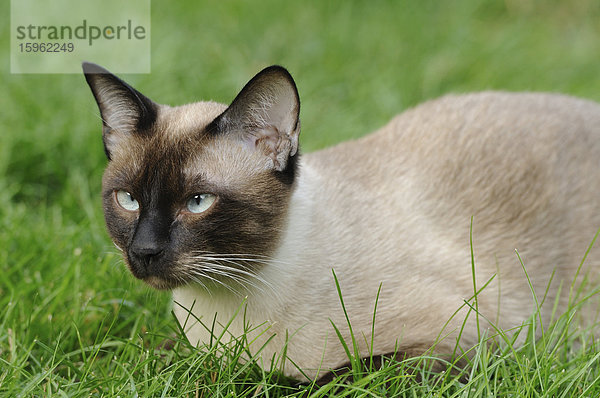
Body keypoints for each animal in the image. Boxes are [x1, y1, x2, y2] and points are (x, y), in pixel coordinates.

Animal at [81, 63, 600, 382]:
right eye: (128, 200)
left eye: (197, 202)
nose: (144, 252)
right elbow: (157, 351)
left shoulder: (458, 341)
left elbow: (325, 377)